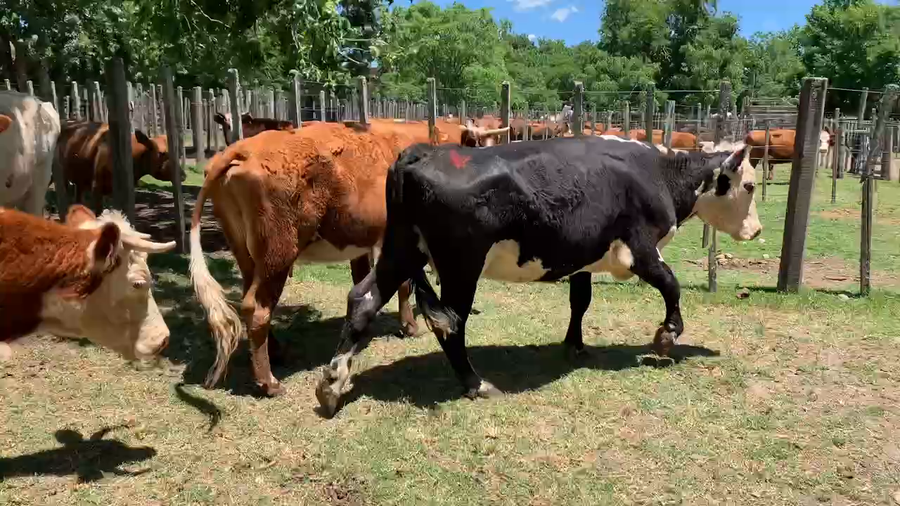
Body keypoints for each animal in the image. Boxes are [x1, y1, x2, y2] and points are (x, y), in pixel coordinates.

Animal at [189, 121, 474, 396]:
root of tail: (242, 149)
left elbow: (362, 282)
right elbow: (402, 285)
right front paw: (409, 326)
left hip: (246, 253)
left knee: (250, 298)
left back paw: (277, 351)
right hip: (278, 254)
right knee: (257, 309)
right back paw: (269, 382)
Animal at [315, 135, 762, 417]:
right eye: (751, 186)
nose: (756, 231)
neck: (657, 173)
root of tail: (422, 152)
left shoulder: (584, 258)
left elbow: (580, 301)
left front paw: (575, 345)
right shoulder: (639, 250)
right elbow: (671, 284)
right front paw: (667, 335)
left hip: (401, 249)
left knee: (363, 300)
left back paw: (332, 384)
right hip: (460, 267)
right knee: (451, 325)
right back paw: (476, 384)